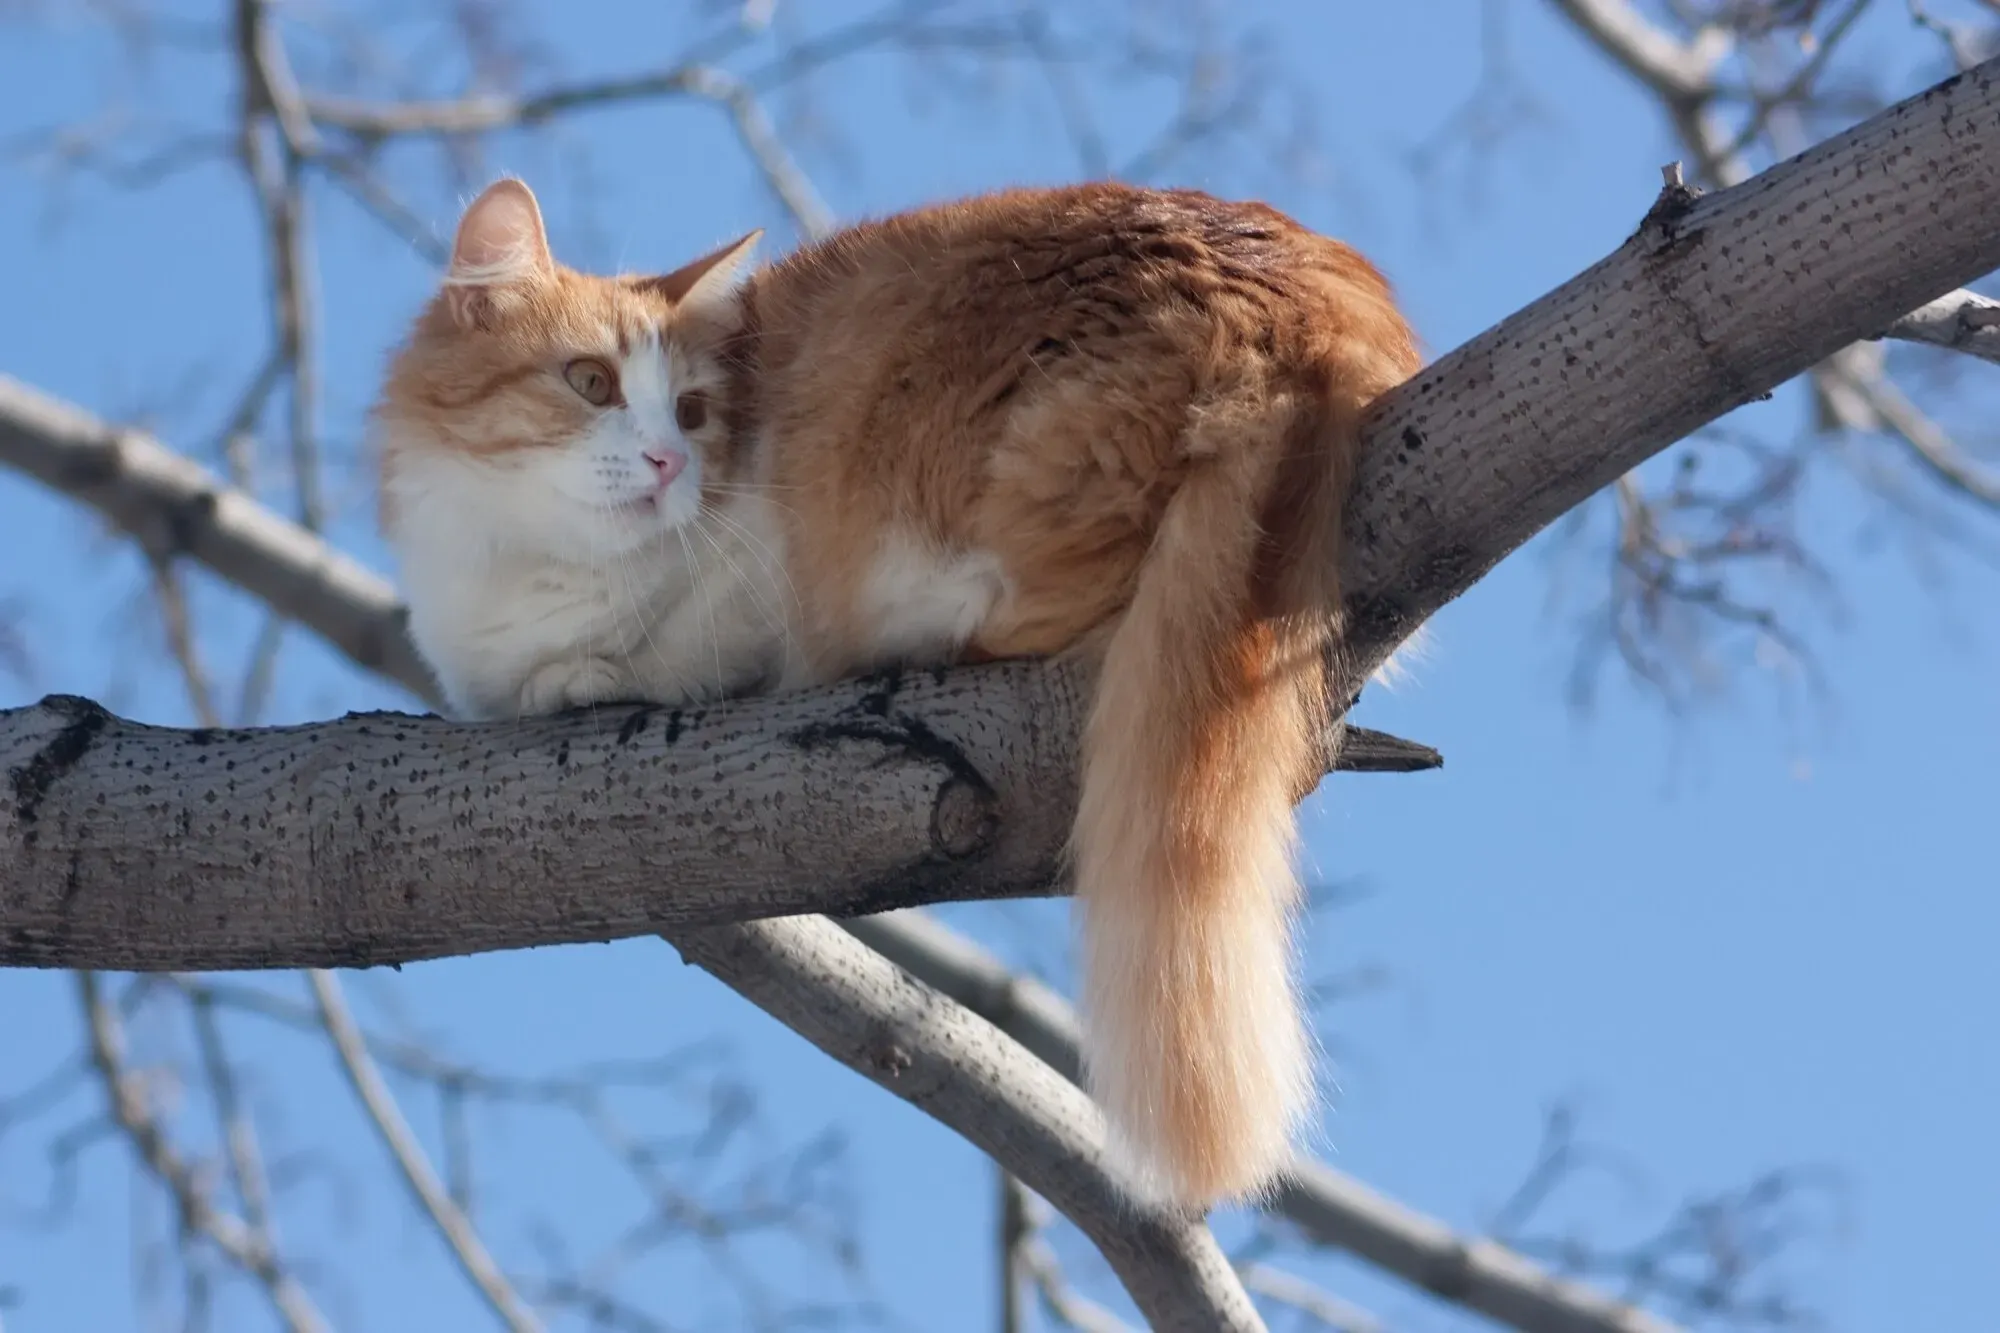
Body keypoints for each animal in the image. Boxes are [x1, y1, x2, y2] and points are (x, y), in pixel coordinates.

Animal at [368, 179, 1416, 1216]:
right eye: (591, 383)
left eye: (694, 412)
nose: (671, 463)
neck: (515, 576)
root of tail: (1299, 288)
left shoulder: (759, 585)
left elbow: (660, 652)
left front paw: (588, 672)